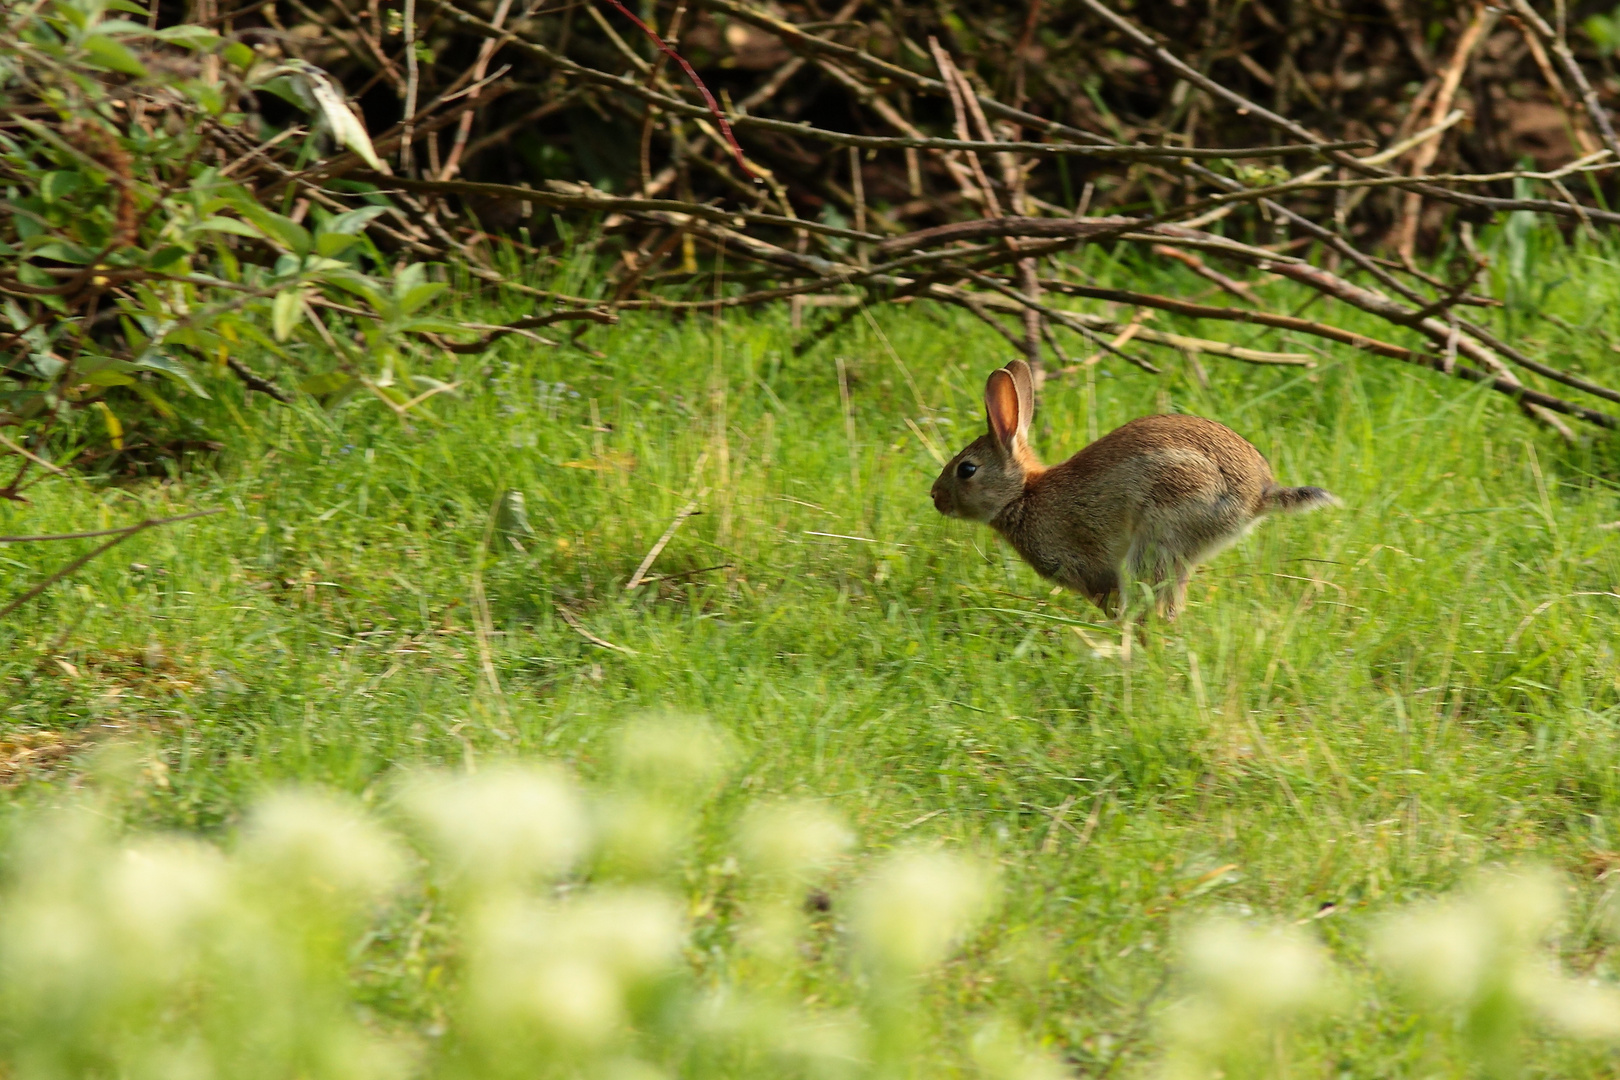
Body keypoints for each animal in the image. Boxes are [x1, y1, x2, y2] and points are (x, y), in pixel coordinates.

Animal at [933, 359, 1334, 621]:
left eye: (966, 470)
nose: (935, 497)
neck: (1022, 494)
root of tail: (1258, 495)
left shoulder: (1089, 565)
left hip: (1161, 529)